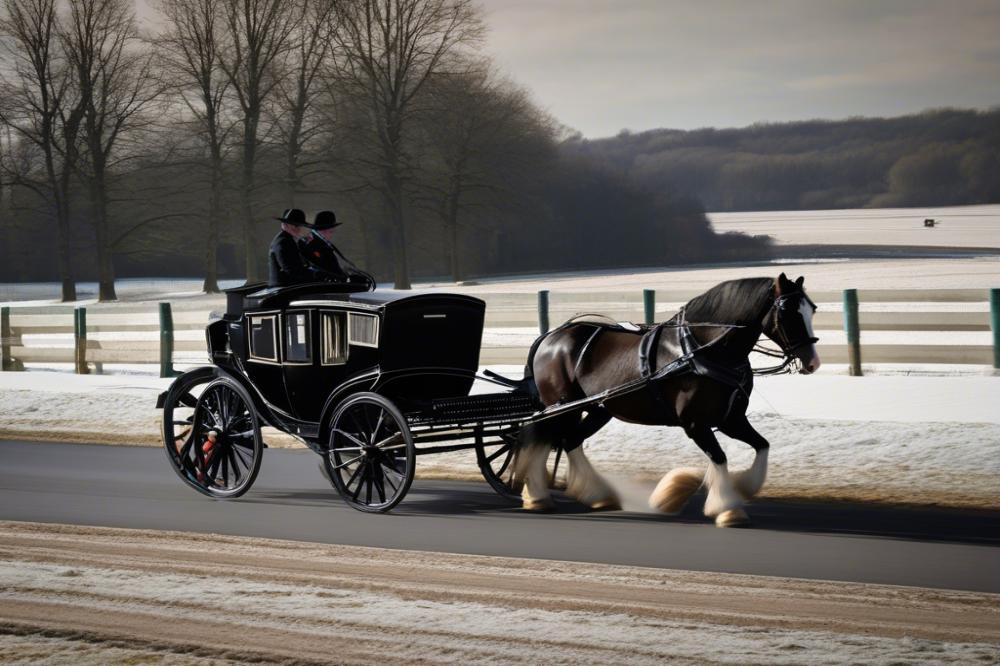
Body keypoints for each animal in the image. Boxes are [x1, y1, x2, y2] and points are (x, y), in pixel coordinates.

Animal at [516, 272, 820, 528]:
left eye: (812, 309)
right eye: (787, 311)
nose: (813, 362)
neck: (703, 349)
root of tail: (549, 337)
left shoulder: (731, 419)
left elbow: (762, 446)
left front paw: (742, 487)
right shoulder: (695, 424)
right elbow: (720, 457)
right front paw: (727, 508)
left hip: (597, 409)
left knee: (569, 441)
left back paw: (596, 495)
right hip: (559, 407)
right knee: (542, 439)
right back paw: (539, 497)